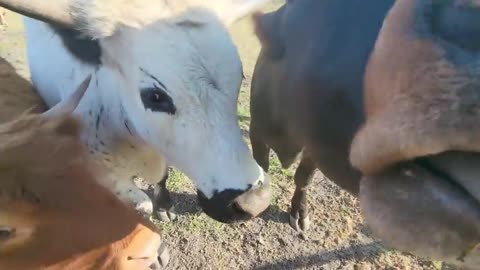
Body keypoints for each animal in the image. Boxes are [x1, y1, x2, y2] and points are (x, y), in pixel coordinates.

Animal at [5, 0, 272, 224]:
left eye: (240, 76)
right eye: (155, 96)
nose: (254, 202)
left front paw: (164, 206)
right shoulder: (104, 174)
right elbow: (141, 205)